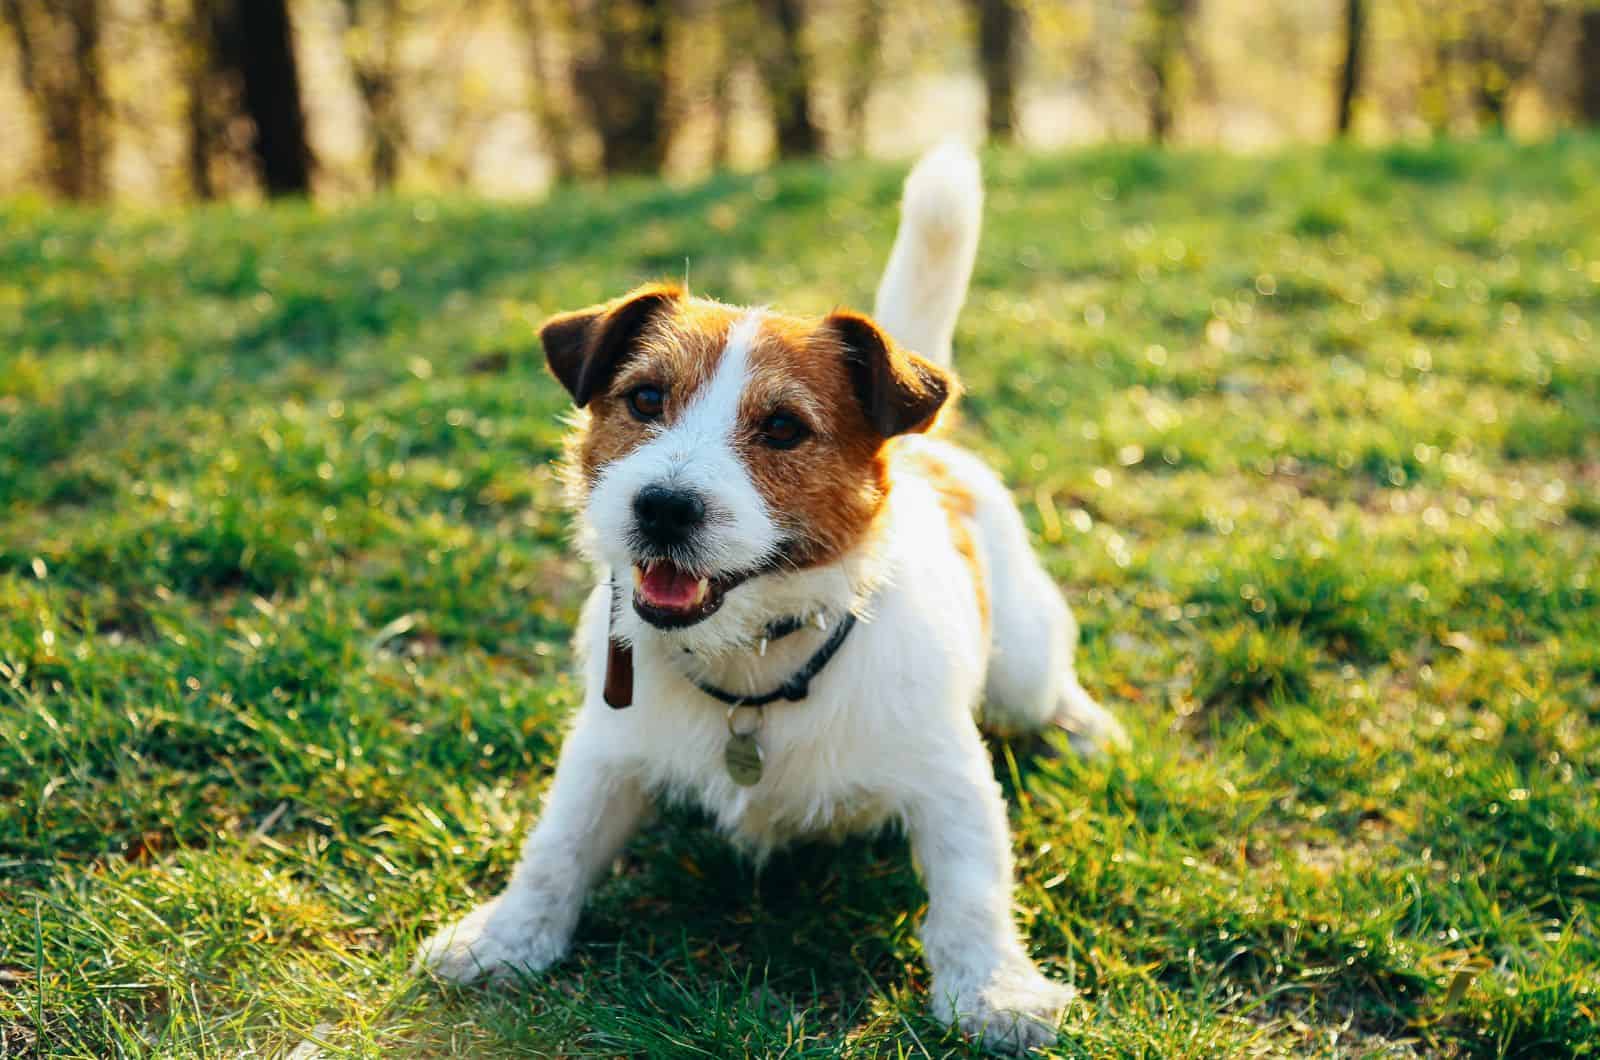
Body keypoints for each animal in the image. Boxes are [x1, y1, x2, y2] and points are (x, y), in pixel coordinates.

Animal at [416, 147, 1126, 1056]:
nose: (663, 507)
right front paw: (505, 938)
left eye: (784, 427)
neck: (751, 660)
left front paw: (995, 993)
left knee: (1051, 690)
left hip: (1022, 670)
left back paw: (1091, 733)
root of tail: (933, 450)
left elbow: (972, 893)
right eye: (645, 399)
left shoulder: (949, 779)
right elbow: (557, 847)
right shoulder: (604, 751)